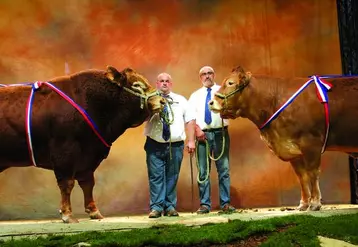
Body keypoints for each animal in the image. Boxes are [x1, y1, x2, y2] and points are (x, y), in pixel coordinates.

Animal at [0, 65, 164, 222]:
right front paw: (67, 214)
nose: (162, 101)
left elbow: (88, 183)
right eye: (137, 85)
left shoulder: (89, 156)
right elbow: (67, 183)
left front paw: (94, 211)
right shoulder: (64, 152)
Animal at [210, 66, 358, 212]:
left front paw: (315, 203)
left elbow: (313, 173)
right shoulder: (293, 150)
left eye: (230, 83)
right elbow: (302, 176)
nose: (211, 102)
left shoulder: (311, 143)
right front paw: (303, 204)